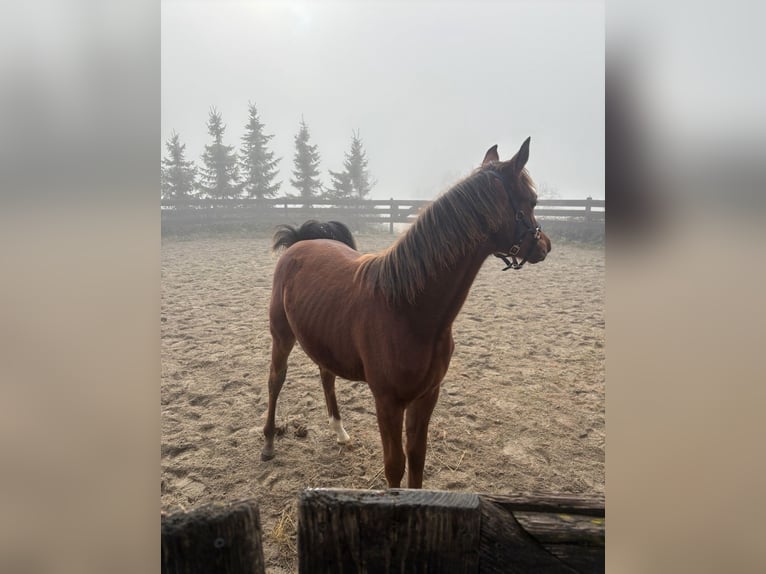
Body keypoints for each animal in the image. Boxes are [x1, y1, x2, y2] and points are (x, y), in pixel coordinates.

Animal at [261, 138, 552, 488]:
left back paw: (340, 433)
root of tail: (301, 242)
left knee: (326, 376)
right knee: (276, 380)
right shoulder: (388, 402)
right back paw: (268, 443)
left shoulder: (426, 396)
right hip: (282, 335)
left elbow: (417, 459)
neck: (408, 311)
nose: (545, 245)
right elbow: (395, 465)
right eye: (532, 200)